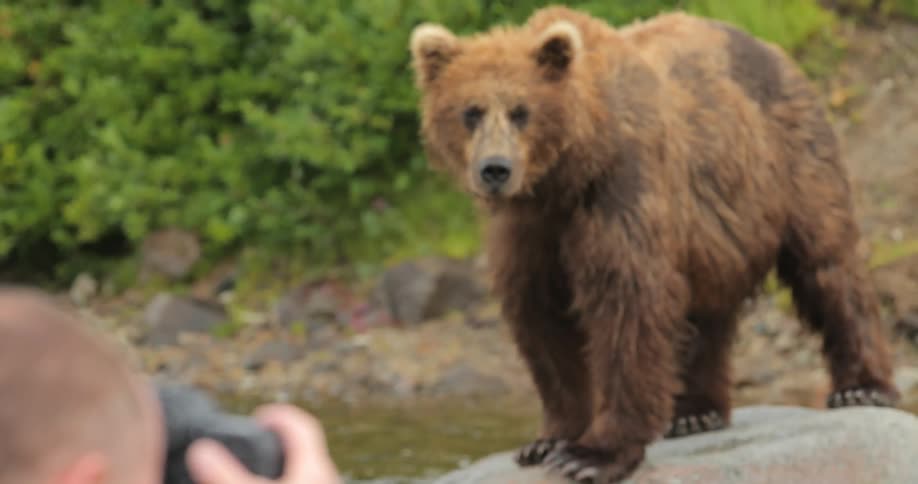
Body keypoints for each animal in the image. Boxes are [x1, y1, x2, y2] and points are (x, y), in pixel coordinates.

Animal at [409, 5, 900, 483]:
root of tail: (774, 50)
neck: (563, 179)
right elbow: (542, 319)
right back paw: (695, 413)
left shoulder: (621, 191)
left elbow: (628, 305)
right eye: (470, 111)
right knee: (707, 311)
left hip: (790, 164)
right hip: (712, 231)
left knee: (827, 264)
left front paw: (591, 455)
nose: (495, 169)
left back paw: (862, 386)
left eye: (520, 111)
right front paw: (546, 441)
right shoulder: (531, 233)